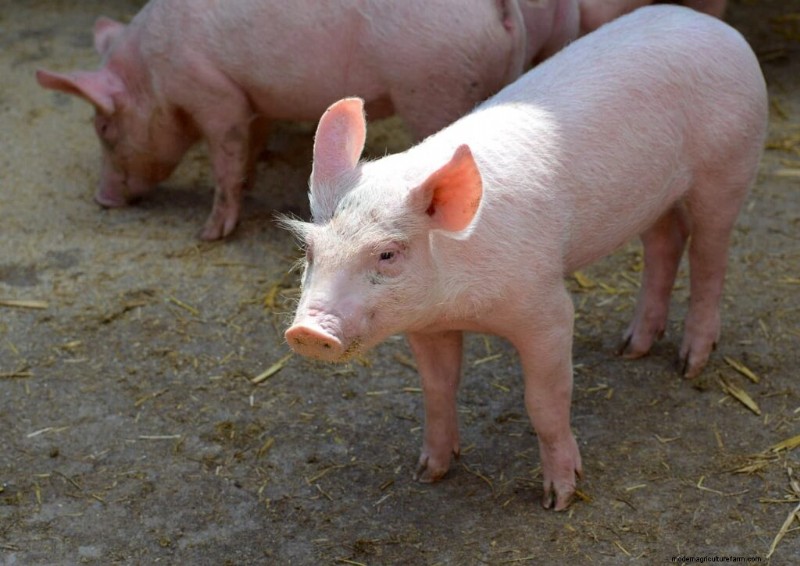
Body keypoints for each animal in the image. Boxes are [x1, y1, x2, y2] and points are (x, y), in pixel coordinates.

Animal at [35, 0, 539, 241]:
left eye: (103, 128)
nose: (102, 200)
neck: (153, 76)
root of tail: (499, 7)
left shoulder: (215, 94)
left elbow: (225, 157)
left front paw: (209, 235)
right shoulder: (251, 97)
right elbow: (250, 143)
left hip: (435, 87)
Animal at [282, 5, 767, 510]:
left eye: (387, 253)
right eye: (310, 250)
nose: (308, 331)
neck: (459, 304)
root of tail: (711, 25)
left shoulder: (546, 307)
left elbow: (544, 400)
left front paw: (560, 498)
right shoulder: (427, 325)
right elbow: (437, 388)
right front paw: (429, 473)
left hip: (729, 165)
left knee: (711, 255)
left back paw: (689, 364)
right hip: (653, 198)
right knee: (665, 242)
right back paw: (631, 347)